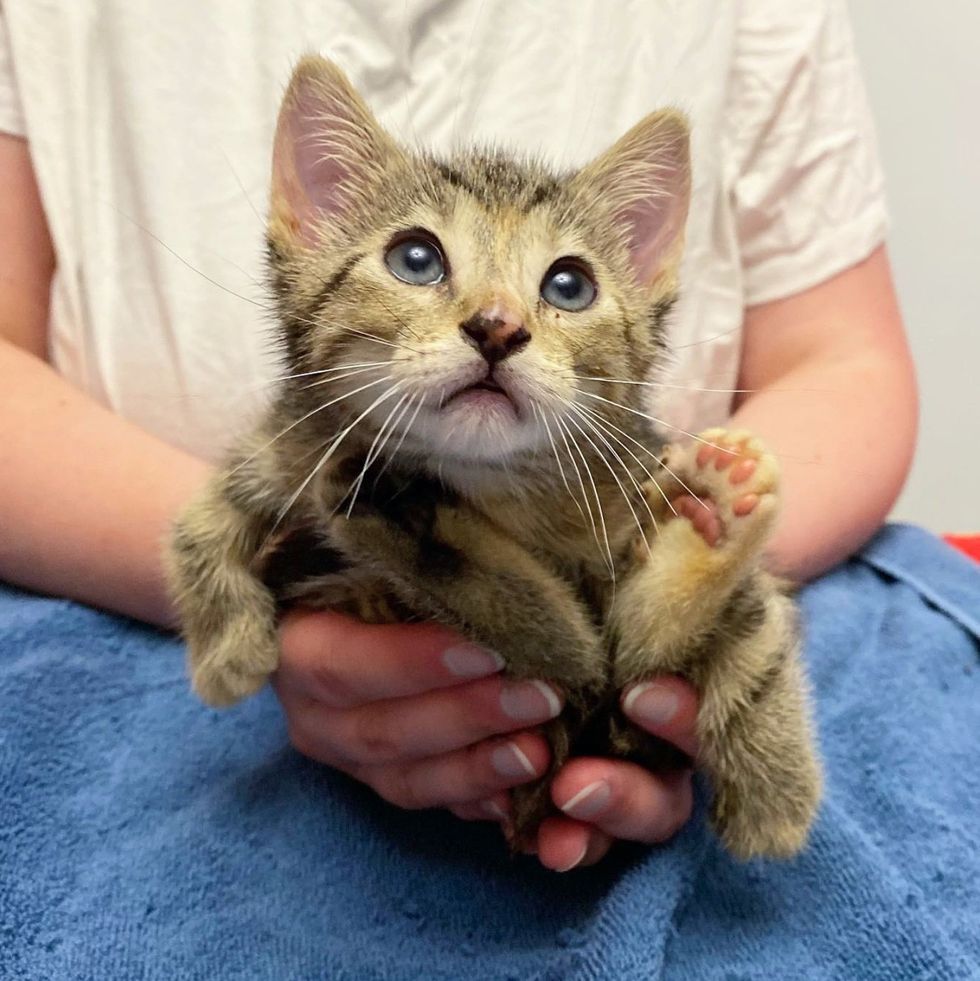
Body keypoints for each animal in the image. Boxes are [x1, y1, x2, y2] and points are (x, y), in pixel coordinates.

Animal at [167, 57, 820, 860]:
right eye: (415, 259)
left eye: (569, 284)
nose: (498, 327)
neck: (493, 484)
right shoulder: (295, 443)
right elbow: (204, 519)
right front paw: (227, 654)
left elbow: (699, 640)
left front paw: (776, 792)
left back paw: (718, 513)